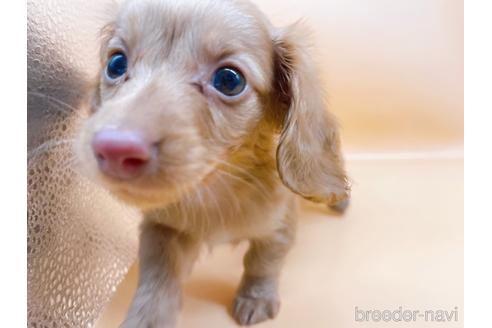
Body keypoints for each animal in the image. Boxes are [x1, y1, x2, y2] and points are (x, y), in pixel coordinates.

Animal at [74, 0, 350, 326]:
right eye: (116, 64)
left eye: (229, 80)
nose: (114, 148)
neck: (214, 188)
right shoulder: (161, 227)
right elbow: (158, 278)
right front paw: (148, 317)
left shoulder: (279, 226)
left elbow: (262, 263)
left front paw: (255, 297)